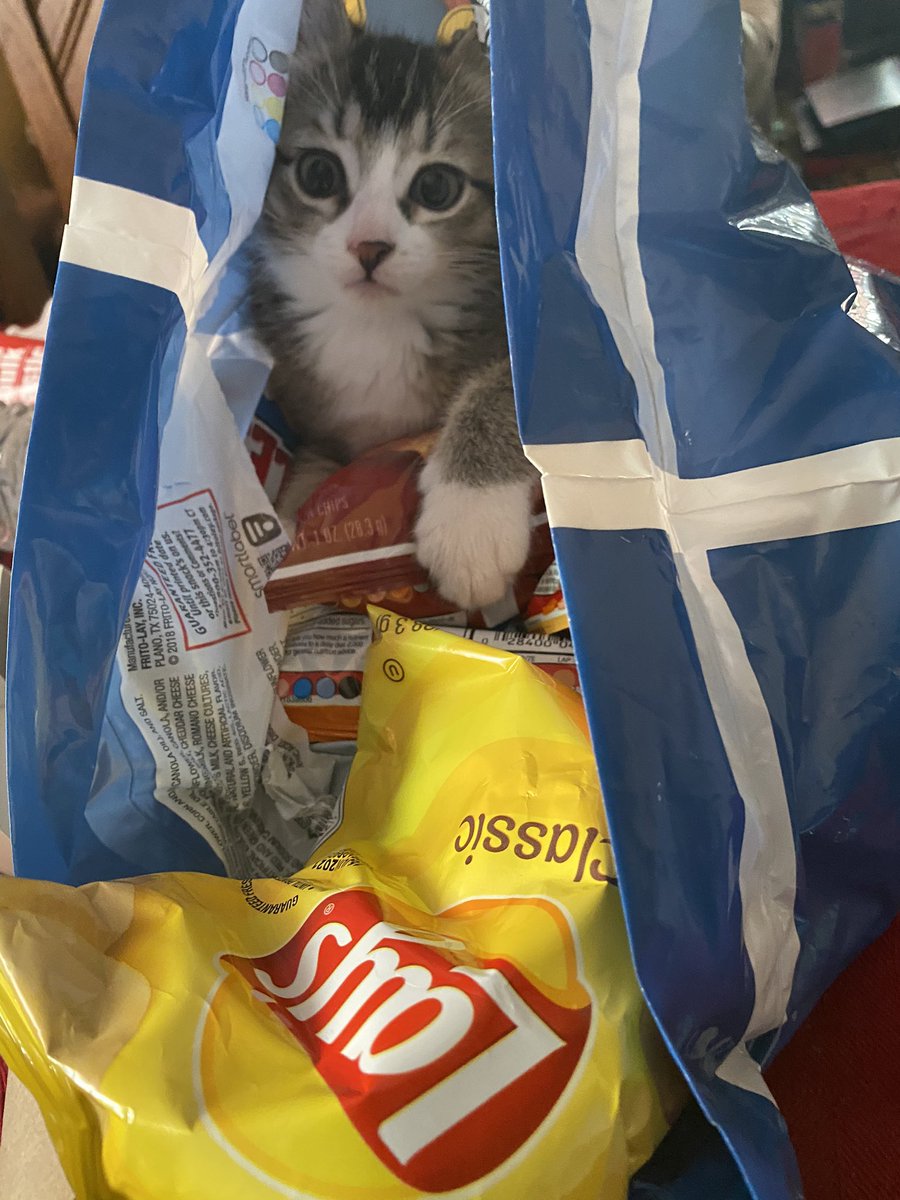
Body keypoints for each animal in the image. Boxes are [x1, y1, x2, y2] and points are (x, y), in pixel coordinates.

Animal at [248, 0, 535, 609]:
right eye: (318, 173)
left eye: (436, 188)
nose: (370, 246)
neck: (373, 327)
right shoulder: (316, 418)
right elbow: (317, 470)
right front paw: (292, 532)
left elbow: (504, 387)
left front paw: (470, 522)